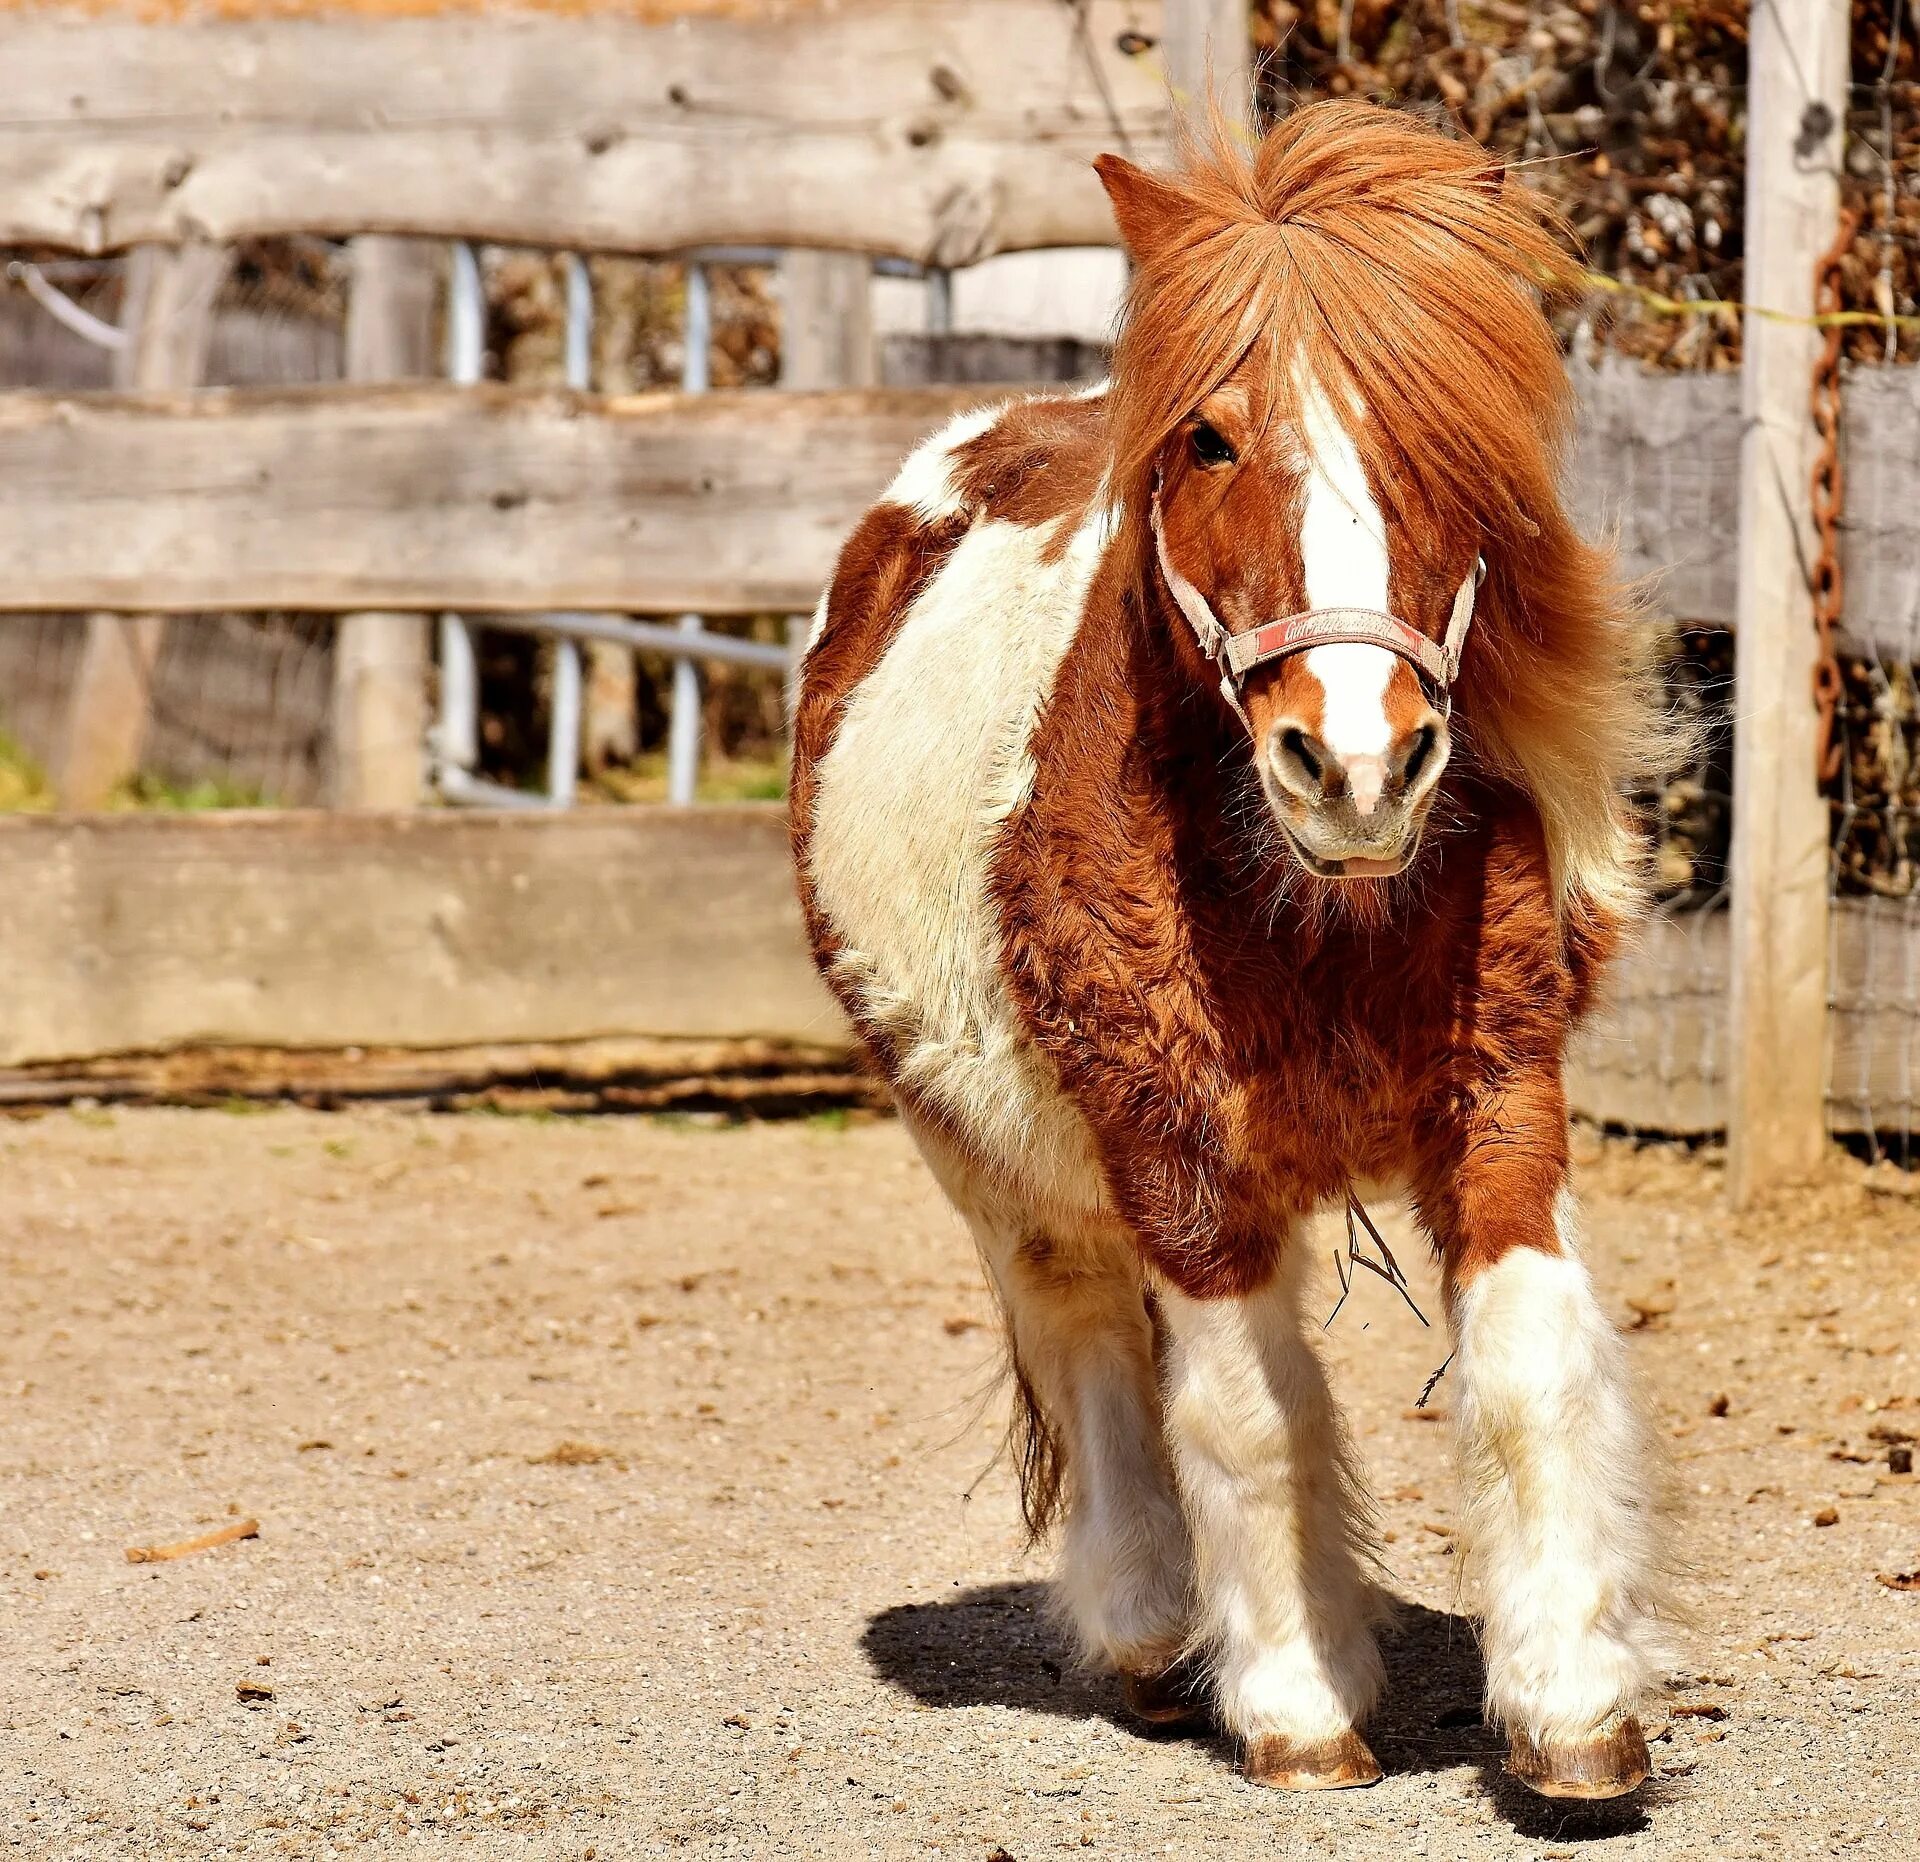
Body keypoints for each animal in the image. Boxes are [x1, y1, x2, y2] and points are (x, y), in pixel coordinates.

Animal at [787, 105, 1674, 1796]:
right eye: (1210, 438)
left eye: (1446, 438)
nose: (1357, 761)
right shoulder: (1178, 1155)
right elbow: (1250, 1415)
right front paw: (1299, 1704)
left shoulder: (1502, 1102)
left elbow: (1526, 1362)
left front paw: (1571, 1707)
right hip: (983, 1150)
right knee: (1088, 1340)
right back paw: (1151, 1632)